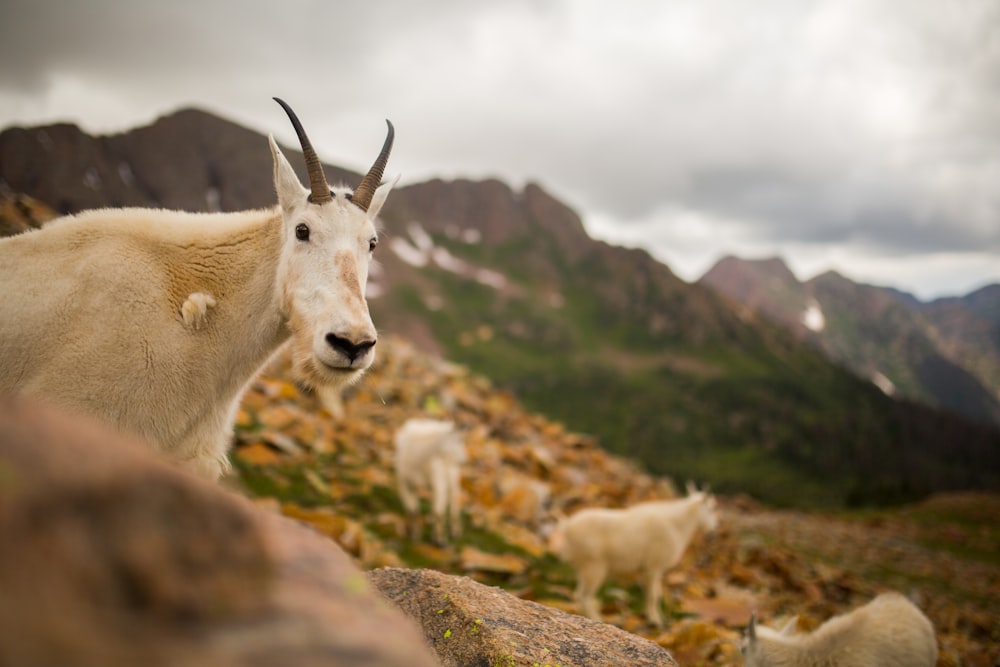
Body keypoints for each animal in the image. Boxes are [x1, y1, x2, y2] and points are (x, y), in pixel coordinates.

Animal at [548, 482, 720, 628]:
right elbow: (653, 596)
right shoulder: (654, 567)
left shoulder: (645, 570)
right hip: (594, 567)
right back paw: (598, 619)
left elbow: (650, 593)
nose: (712, 532)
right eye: (711, 508)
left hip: (585, 568)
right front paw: (655, 621)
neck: (677, 525)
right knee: (583, 595)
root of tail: (566, 526)